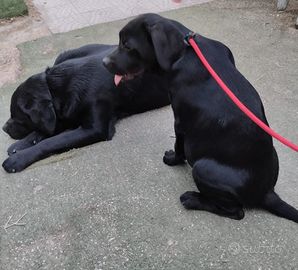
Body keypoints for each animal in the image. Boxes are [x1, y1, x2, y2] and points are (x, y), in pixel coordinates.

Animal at [2, 43, 170, 172]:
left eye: (16, 117)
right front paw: (21, 144)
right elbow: (46, 130)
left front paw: (19, 158)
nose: (3, 128)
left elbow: (51, 141)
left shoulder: (94, 129)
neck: (58, 89)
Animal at [103, 13, 298, 224]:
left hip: (202, 168)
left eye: (128, 46)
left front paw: (172, 159)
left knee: (236, 212)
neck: (184, 50)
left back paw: (192, 199)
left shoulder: (180, 121)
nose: (104, 62)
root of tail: (265, 193)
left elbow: (179, 146)